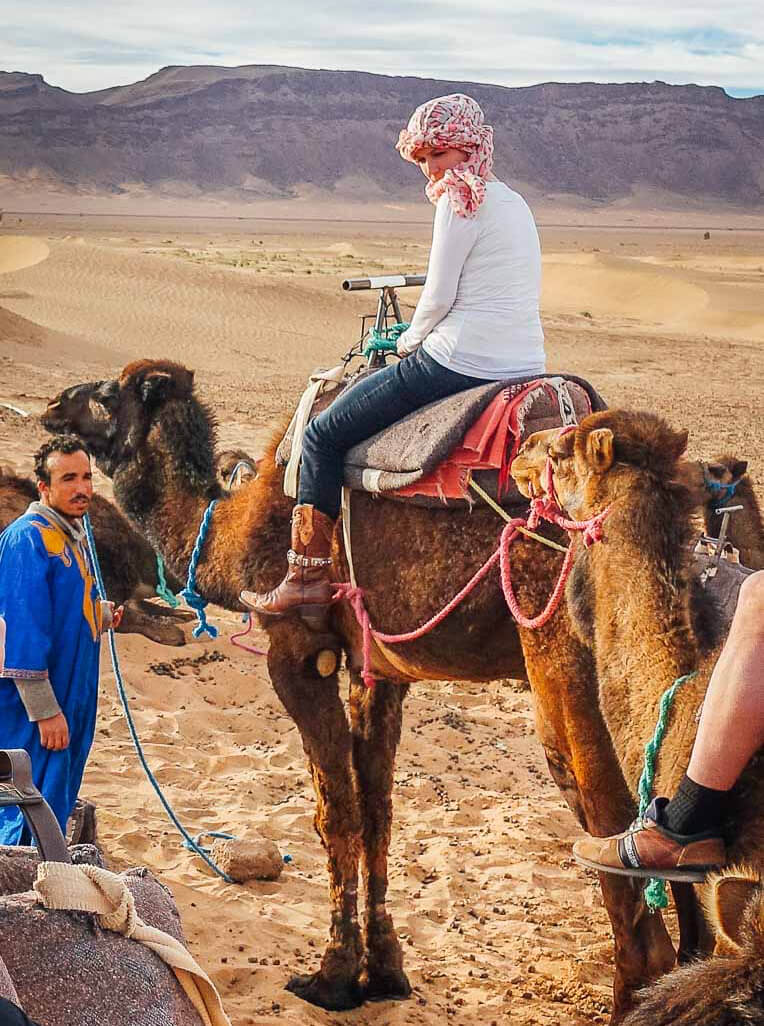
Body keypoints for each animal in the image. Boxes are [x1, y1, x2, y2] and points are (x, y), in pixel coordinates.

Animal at [40, 361, 672, 1017]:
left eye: (106, 395)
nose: (54, 407)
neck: (231, 530)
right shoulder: (378, 670)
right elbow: (377, 813)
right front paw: (385, 971)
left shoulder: (299, 653)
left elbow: (336, 813)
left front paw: (333, 977)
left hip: (561, 655)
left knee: (611, 829)